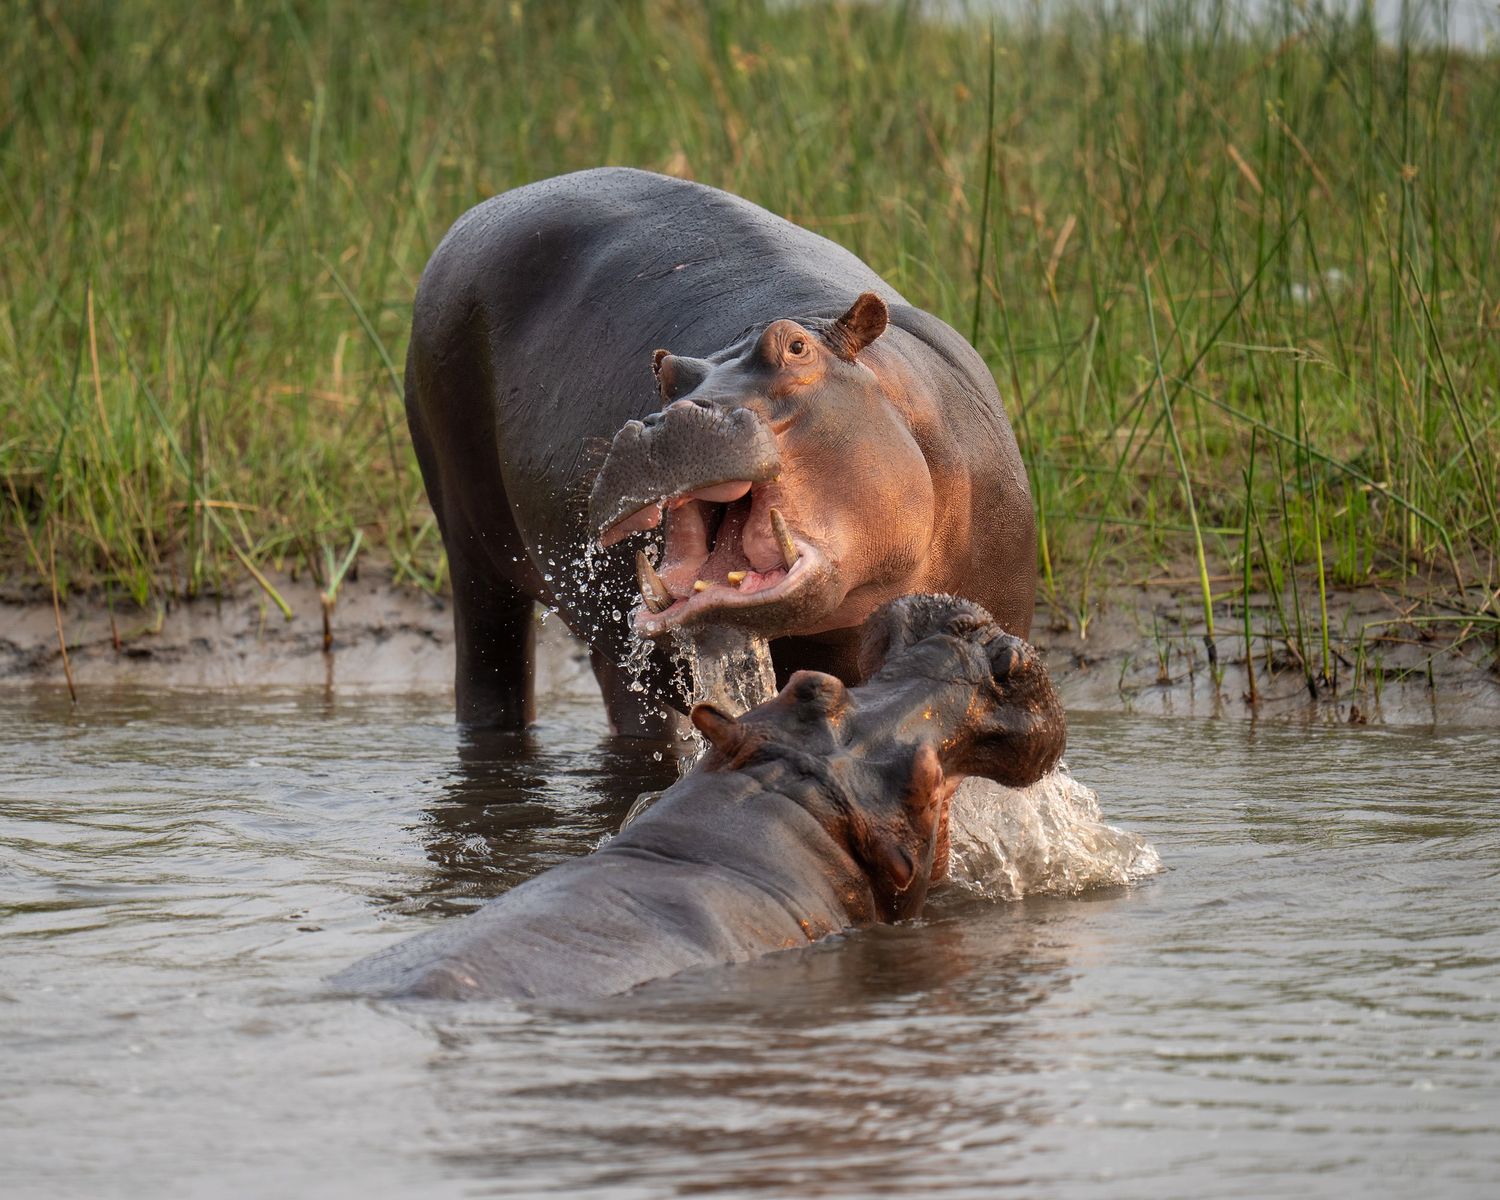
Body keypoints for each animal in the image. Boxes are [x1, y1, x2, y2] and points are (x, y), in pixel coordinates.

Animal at [405, 168, 1036, 735]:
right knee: (490, 667)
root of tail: (478, 214)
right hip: (468, 548)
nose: (665, 421)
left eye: (797, 347)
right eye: (667, 377)